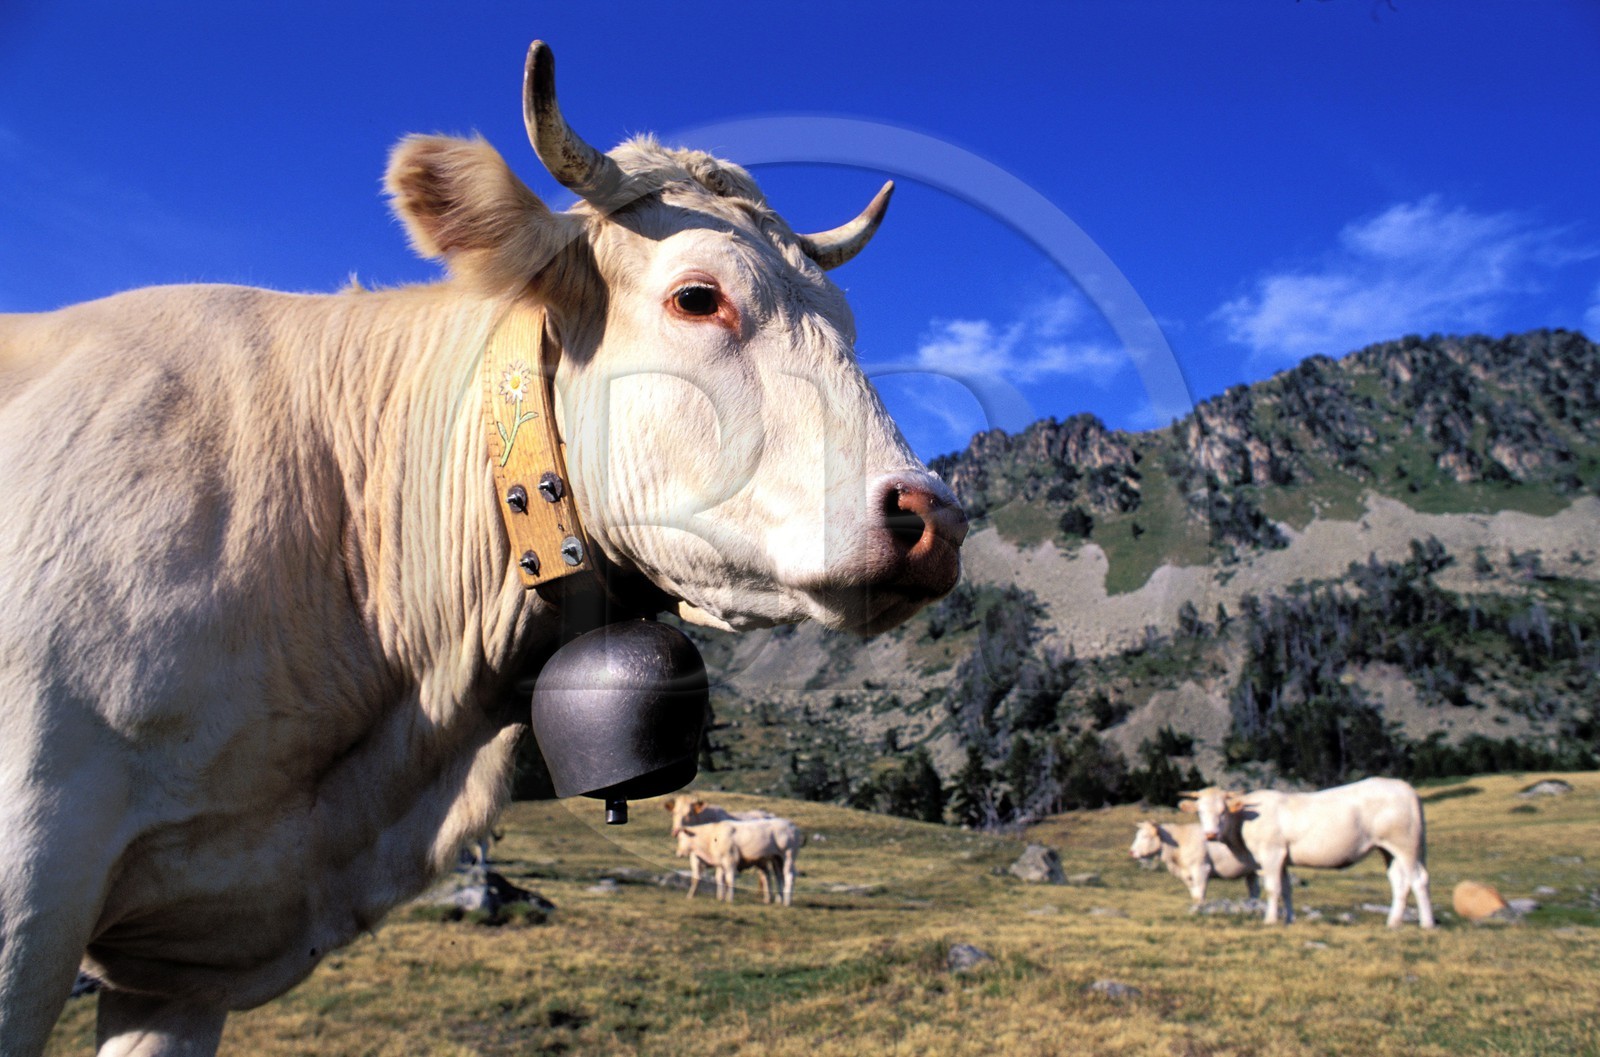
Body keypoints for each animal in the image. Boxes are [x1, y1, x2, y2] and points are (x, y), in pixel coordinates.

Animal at [675, 817, 804, 906]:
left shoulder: (730, 860)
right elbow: (720, 879)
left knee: (789, 875)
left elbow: (729, 879)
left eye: (681, 838)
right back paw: (778, 900)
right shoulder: (721, 863)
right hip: (777, 858)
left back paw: (786, 902)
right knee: (779, 876)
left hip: (788, 854)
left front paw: (729, 899)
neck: (711, 838)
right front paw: (721, 897)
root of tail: (793, 826)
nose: (678, 853)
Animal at [1128, 821, 1260, 907]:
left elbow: (1200, 894)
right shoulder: (1186, 876)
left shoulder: (1201, 869)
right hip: (1252, 872)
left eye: (1145, 836)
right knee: (1254, 890)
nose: (1131, 852)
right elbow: (1194, 894)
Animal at [1179, 779, 1436, 928]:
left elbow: (1273, 888)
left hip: (1406, 844)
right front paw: (1289, 920)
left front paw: (1270, 920)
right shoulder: (1282, 858)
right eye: (1200, 812)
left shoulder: (1271, 853)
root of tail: (1405, 788)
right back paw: (1392, 923)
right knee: (1399, 881)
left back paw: (1427, 923)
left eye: (1222, 811)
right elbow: (1286, 889)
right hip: (1387, 849)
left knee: (1418, 879)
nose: (1210, 835)